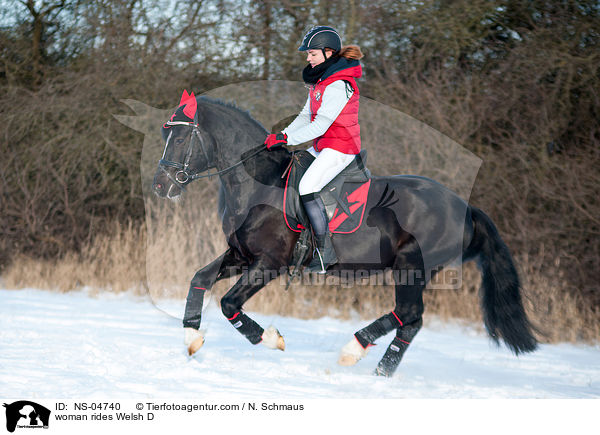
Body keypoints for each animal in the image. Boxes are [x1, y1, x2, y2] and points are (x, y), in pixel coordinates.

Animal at [152, 93, 536, 378]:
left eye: (182, 137)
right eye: (164, 135)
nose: (160, 186)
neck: (260, 185)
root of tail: (464, 207)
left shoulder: (269, 263)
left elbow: (230, 303)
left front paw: (271, 339)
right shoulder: (240, 255)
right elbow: (199, 279)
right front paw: (191, 338)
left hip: (413, 265)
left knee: (409, 313)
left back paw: (355, 351)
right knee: (411, 320)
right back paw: (379, 370)